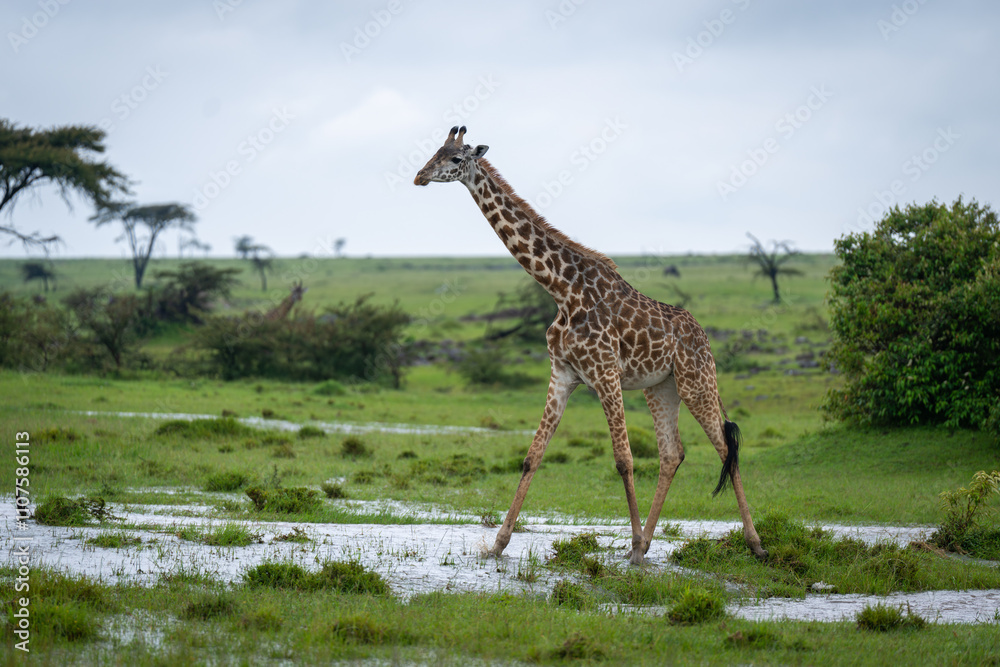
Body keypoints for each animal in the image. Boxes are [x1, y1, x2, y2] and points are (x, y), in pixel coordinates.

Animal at [414, 126, 767, 564]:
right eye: (435, 151)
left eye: (456, 159)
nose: (420, 176)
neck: (562, 290)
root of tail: (704, 336)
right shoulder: (563, 375)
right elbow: (532, 456)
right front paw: (497, 544)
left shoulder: (605, 373)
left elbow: (624, 460)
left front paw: (631, 545)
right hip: (661, 388)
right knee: (672, 453)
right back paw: (648, 544)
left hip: (696, 382)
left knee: (725, 451)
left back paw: (754, 543)